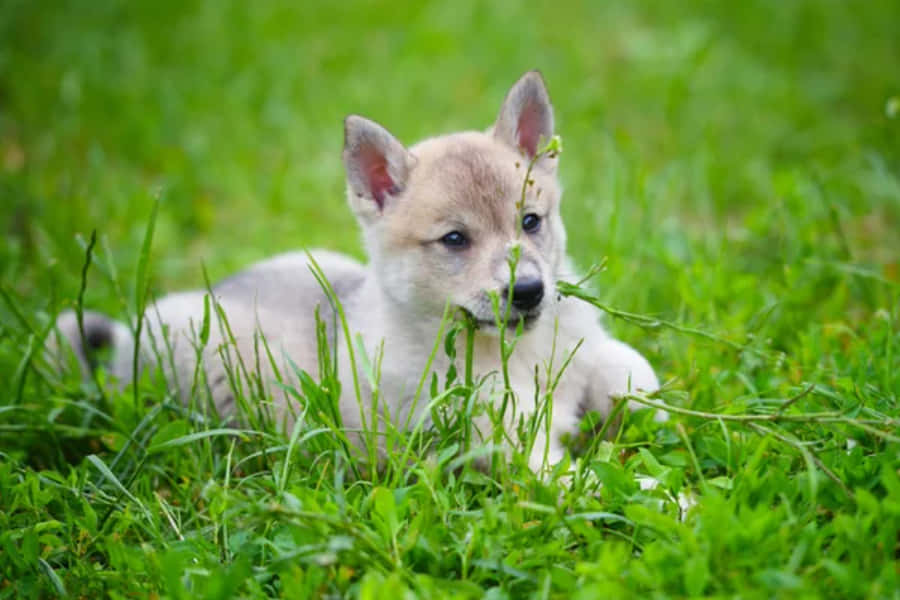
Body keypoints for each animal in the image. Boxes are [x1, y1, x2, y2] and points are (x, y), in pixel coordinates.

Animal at [53, 71, 659, 473]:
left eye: (531, 221)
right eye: (455, 239)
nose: (530, 292)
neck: (514, 352)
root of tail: (131, 337)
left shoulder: (588, 352)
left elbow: (632, 373)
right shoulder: (515, 447)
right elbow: (599, 485)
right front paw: (671, 500)